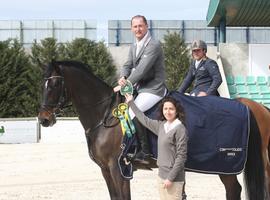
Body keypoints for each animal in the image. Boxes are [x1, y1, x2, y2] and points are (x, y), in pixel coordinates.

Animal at [38, 60, 270, 199]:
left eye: (55, 85)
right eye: (43, 85)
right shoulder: (105, 170)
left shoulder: (118, 168)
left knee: (235, 189)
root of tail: (247, 105)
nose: (43, 119)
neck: (105, 115)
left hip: (226, 164)